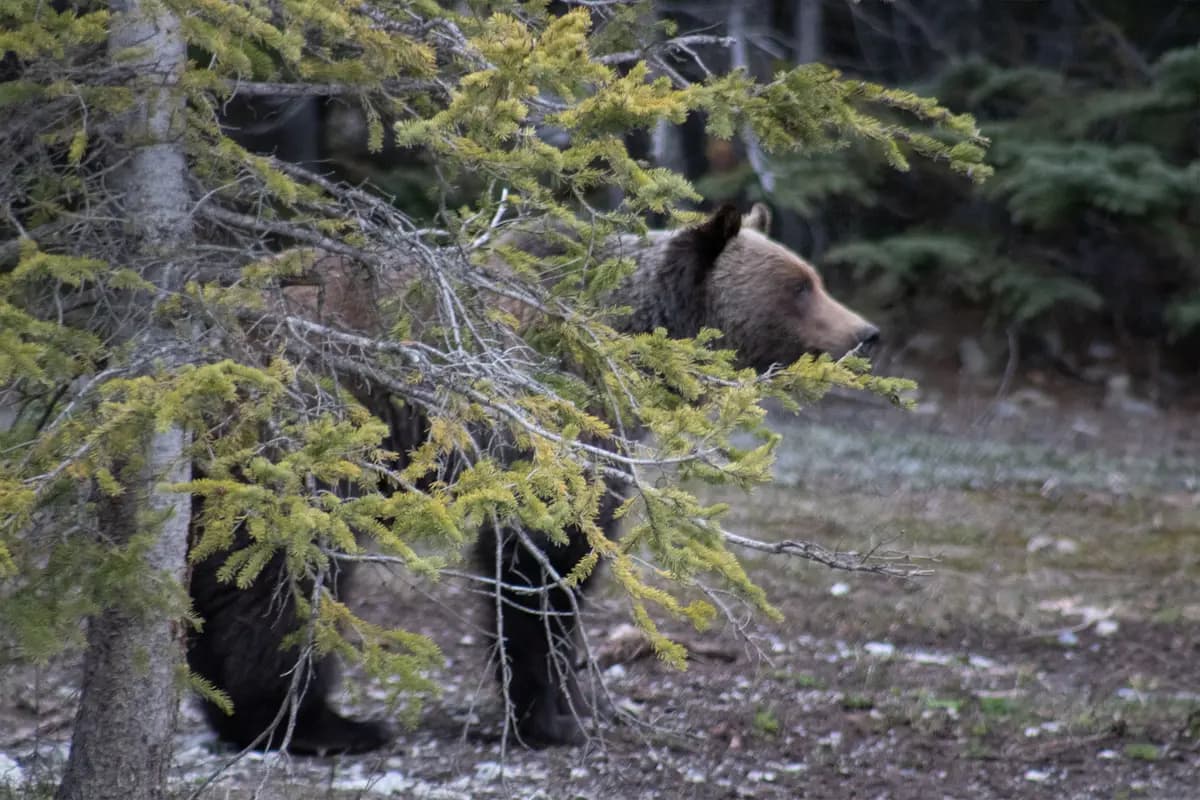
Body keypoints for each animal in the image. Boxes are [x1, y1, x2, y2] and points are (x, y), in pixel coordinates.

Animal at [186, 202, 879, 754]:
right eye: (799, 288)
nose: (866, 332)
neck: (625, 343)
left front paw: (573, 703)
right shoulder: (544, 419)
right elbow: (545, 561)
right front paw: (552, 713)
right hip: (308, 435)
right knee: (282, 576)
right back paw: (314, 724)